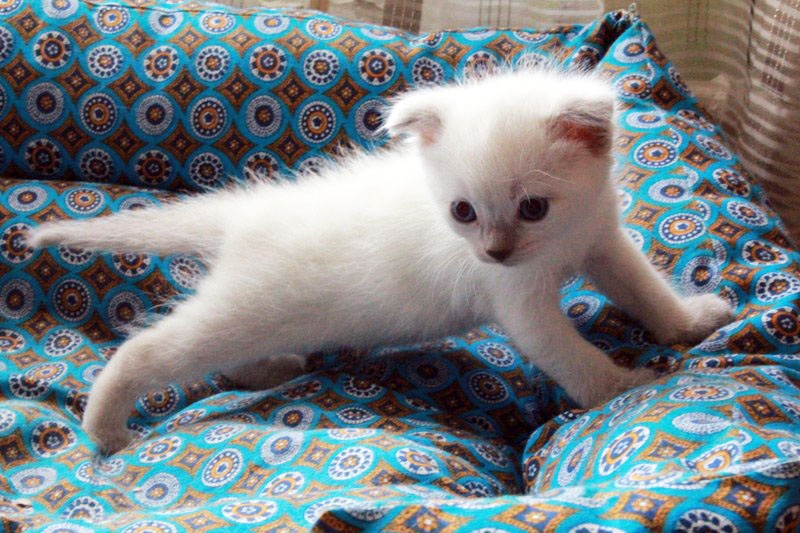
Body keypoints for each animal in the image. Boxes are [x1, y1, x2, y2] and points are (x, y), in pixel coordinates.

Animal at [27, 69, 734, 453]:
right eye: (462, 212)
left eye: (532, 207)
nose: (495, 252)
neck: (554, 244)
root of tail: (241, 214)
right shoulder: (519, 302)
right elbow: (567, 355)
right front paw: (622, 386)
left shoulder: (600, 240)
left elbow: (644, 289)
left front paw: (691, 323)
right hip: (240, 312)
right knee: (146, 351)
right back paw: (107, 431)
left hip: (258, 317)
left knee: (230, 357)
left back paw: (272, 369)